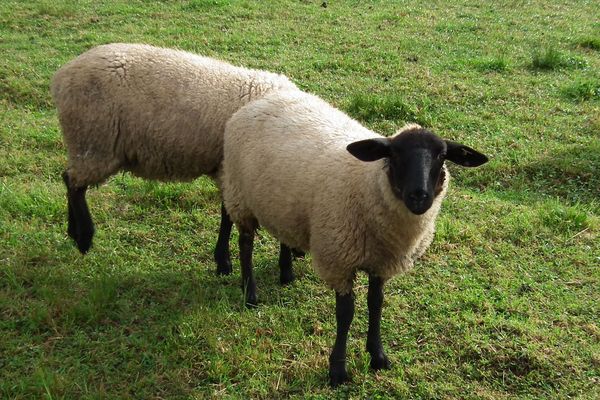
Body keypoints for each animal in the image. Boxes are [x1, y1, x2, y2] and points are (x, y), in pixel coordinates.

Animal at [51, 42, 302, 276]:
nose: (299, 254)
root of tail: (62, 77)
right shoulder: (229, 171)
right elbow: (226, 216)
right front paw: (224, 261)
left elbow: (226, 213)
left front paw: (222, 259)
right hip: (94, 141)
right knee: (73, 183)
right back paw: (84, 237)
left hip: (88, 144)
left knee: (70, 180)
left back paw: (73, 231)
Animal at [220, 90, 488, 384]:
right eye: (394, 154)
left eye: (441, 155)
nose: (419, 196)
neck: (367, 186)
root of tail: (261, 100)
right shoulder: (339, 260)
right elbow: (345, 314)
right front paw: (338, 370)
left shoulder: (381, 262)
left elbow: (376, 304)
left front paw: (378, 356)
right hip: (239, 196)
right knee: (245, 243)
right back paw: (250, 292)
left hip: (282, 205)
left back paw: (286, 273)